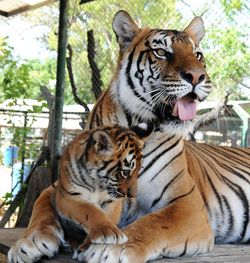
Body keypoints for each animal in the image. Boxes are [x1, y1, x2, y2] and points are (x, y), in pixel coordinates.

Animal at [7, 9, 250, 263]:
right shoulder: (62, 185)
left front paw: (108, 248)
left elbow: (153, 223)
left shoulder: (187, 204)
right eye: (161, 52)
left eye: (198, 55)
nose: (197, 76)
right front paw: (29, 242)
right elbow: (42, 207)